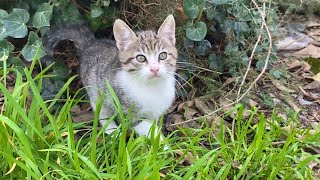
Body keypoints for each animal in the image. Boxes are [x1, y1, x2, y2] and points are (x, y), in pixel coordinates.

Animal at [42, 14, 178, 138]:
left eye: (162, 55)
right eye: (140, 58)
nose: (155, 69)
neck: (152, 86)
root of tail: (91, 43)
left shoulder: (154, 114)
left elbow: (153, 127)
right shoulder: (130, 114)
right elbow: (149, 129)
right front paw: (163, 145)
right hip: (96, 90)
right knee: (101, 111)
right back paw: (113, 132)